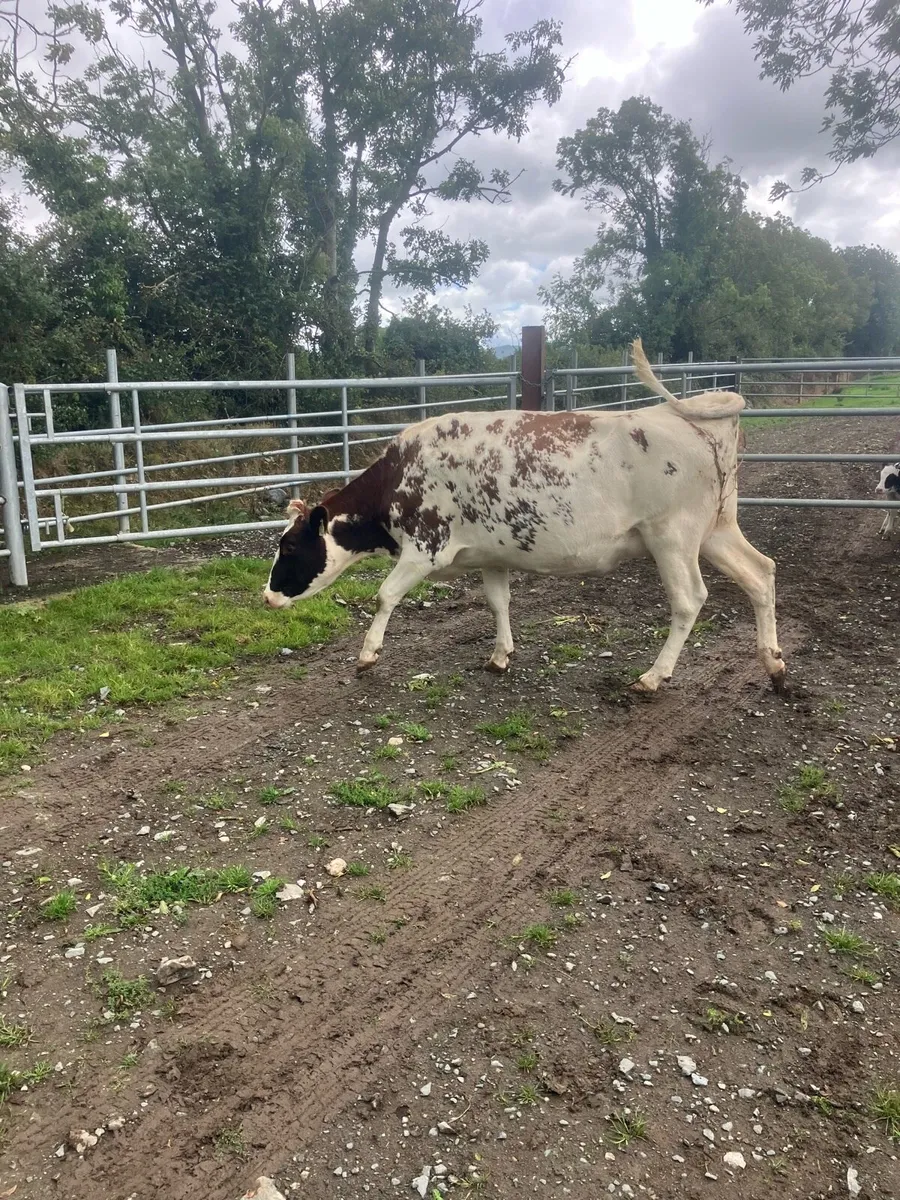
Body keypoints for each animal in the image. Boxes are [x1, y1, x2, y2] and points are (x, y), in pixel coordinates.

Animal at [264, 338, 785, 694]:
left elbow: (384, 596)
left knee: (689, 600)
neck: (402, 474)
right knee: (761, 572)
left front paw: (368, 655)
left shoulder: (426, 549)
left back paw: (654, 676)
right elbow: (498, 602)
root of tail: (686, 413)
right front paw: (500, 656)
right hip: (717, 530)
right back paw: (774, 664)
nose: (267, 597)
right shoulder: (491, 554)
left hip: (672, 537)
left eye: (289, 546)